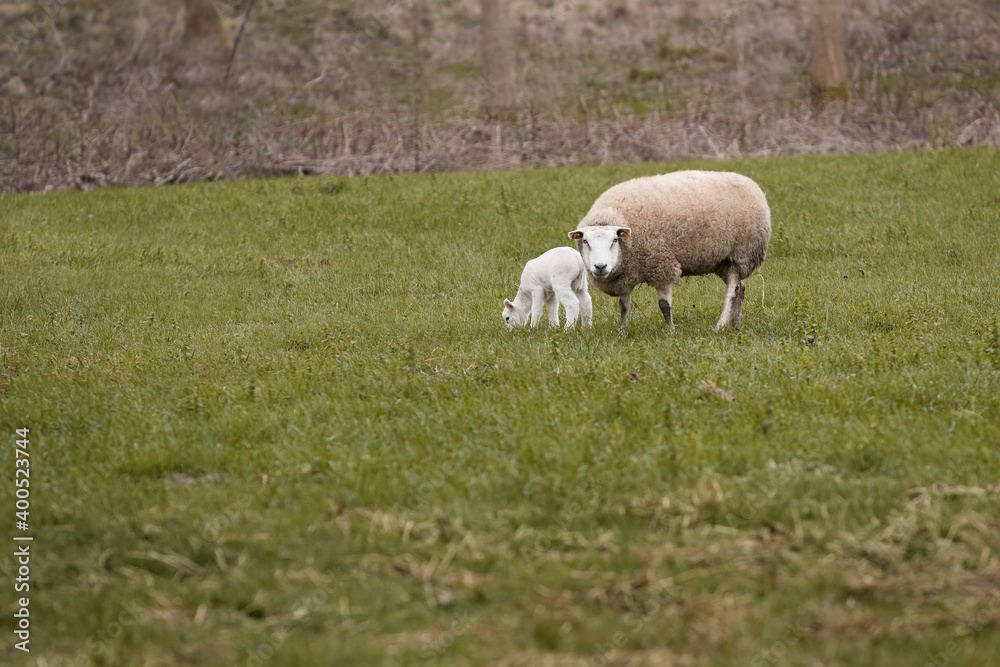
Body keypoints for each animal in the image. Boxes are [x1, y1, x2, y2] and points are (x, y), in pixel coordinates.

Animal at [568, 170, 770, 331]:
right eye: (585, 241)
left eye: (615, 240)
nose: (600, 267)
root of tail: (750, 182)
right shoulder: (626, 275)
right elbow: (624, 306)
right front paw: (622, 330)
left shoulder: (661, 265)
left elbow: (664, 305)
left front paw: (670, 330)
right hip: (723, 261)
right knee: (740, 289)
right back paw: (735, 325)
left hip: (742, 253)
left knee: (732, 290)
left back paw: (720, 325)